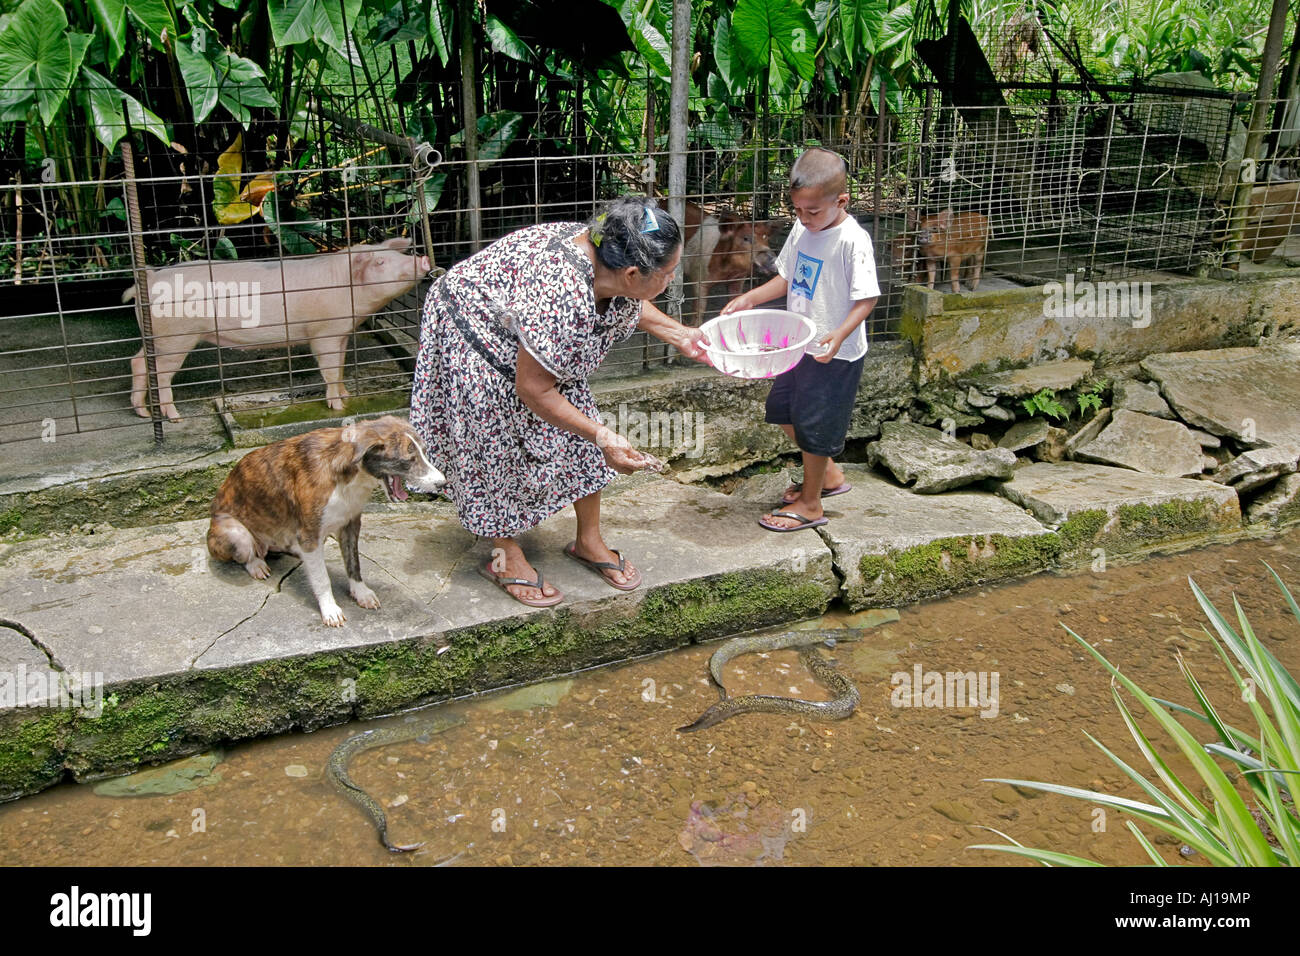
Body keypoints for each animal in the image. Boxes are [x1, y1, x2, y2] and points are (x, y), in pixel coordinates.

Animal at [122, 238, 428, 421]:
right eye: (380, 262)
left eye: (396, 253)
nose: (423, 258)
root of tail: (150, 279)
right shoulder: (324, 332)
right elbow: (329, 368)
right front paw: (339, 406)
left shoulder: (342, 332)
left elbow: (340, 367)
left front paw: (346, 395)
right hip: (176, 337)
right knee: (161, 372)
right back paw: (173, 417)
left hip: (158, 338)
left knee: (137, 361)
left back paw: (143, 413)